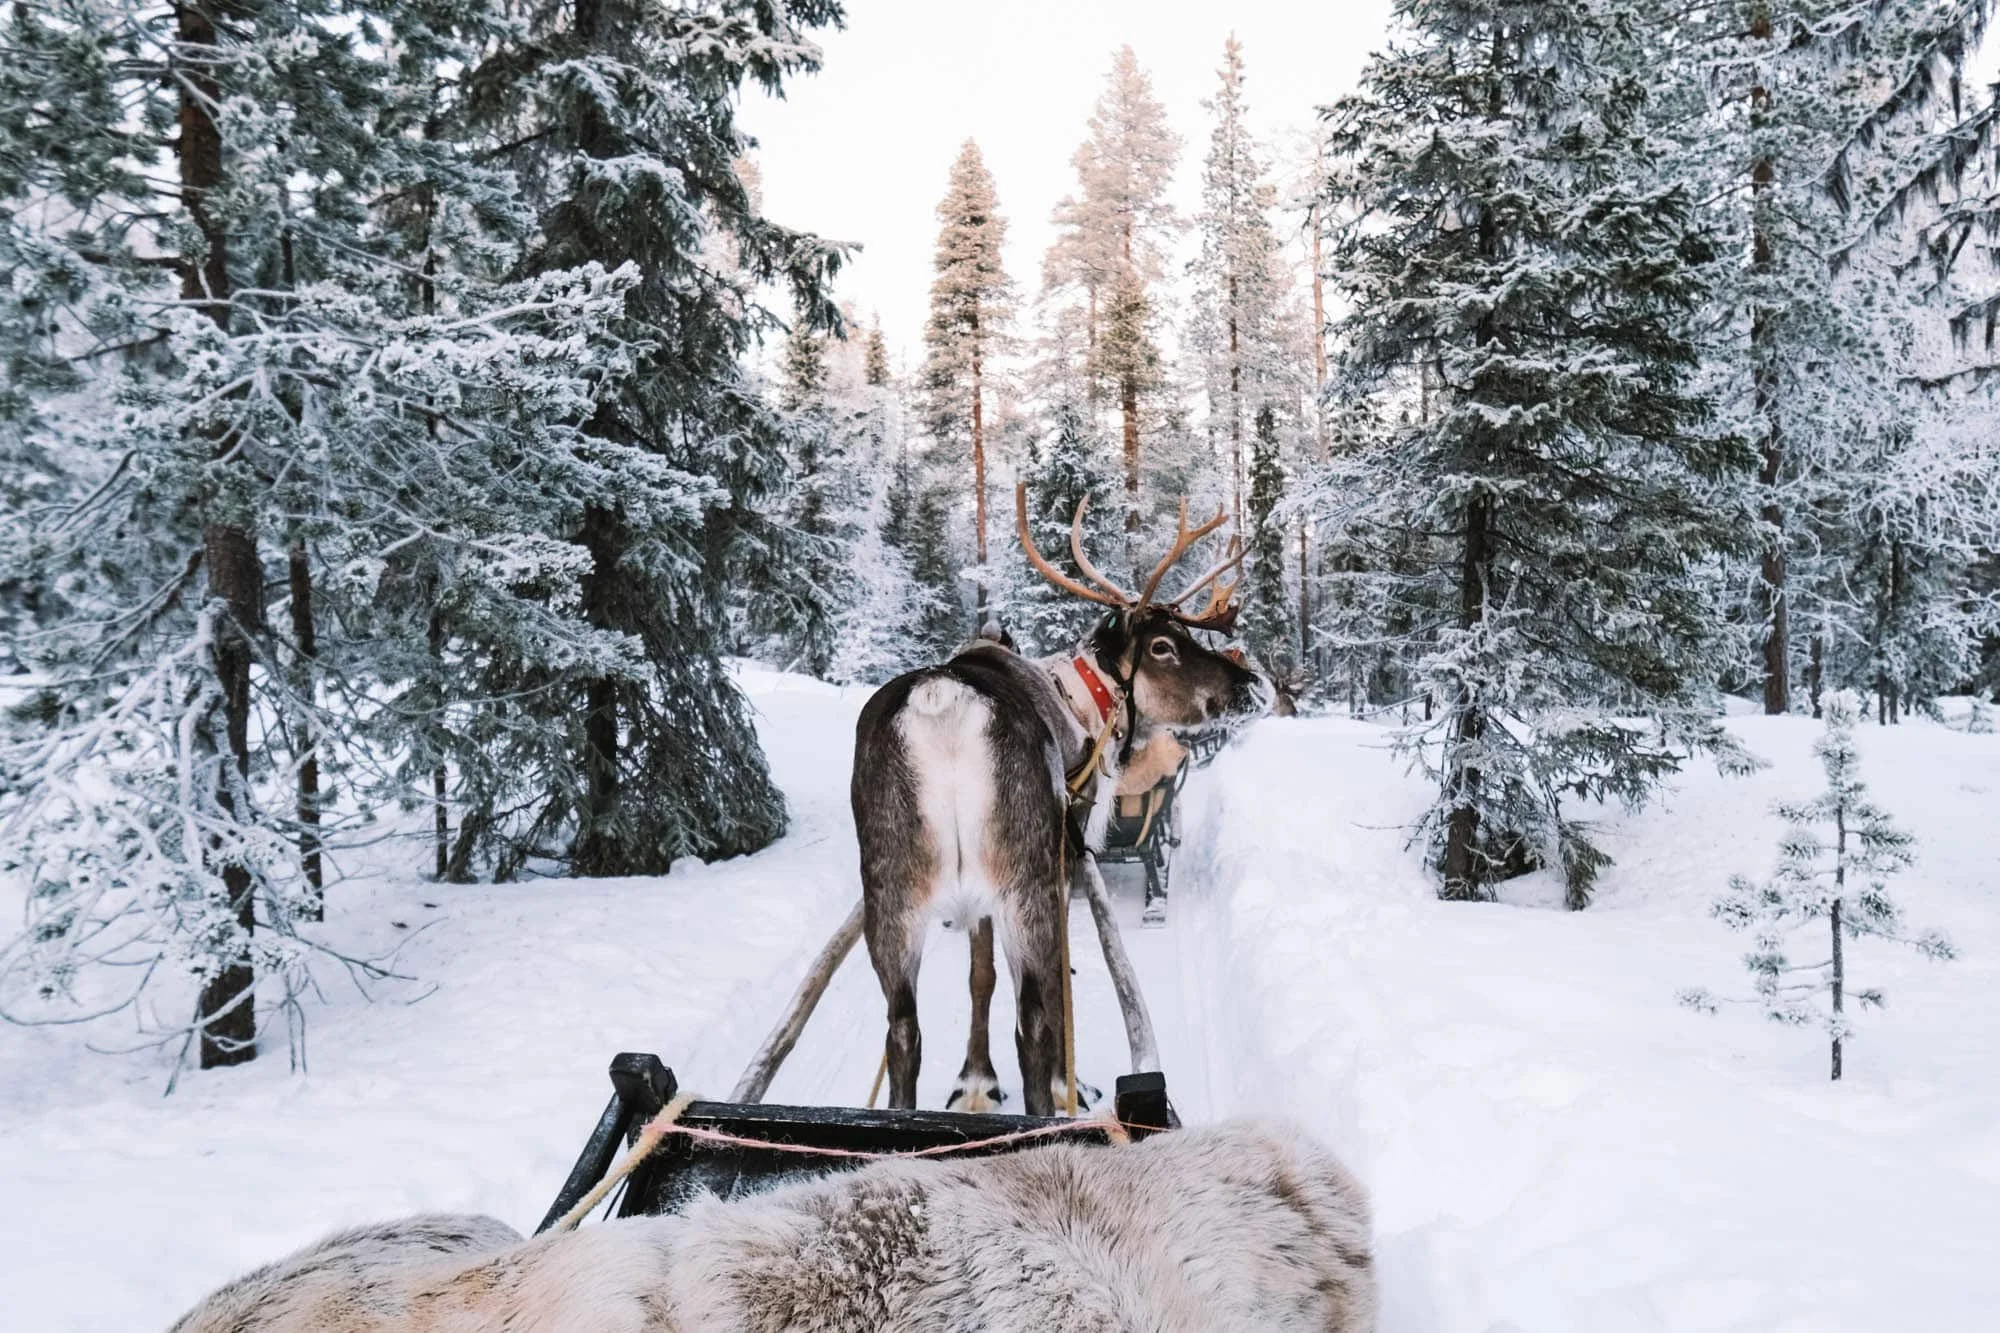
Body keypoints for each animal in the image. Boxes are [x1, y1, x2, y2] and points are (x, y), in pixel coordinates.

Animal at [848, 485, 1267, 1117]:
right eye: (1166, 646)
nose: (1248, 684)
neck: (1085, 705)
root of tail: (941, 702)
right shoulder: (1071, 854)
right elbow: (1056, 981)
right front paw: (1069, 1084)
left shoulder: (981, 897)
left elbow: (980, 975)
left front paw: (976, 1080)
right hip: (1029, 877)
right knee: (1034, 1019)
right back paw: (1050, 1109)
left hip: (892, 892)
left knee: (902, 1028)